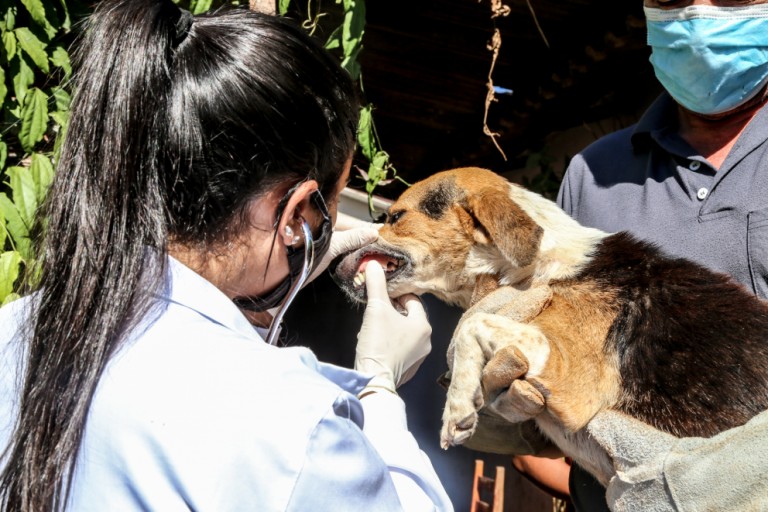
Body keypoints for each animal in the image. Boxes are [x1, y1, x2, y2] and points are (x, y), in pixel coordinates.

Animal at [332, 167, 768, 484]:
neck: (542, 265)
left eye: (396, 217)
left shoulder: (571, 370)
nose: (334, 268)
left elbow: (473, 325)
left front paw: (457, 406)